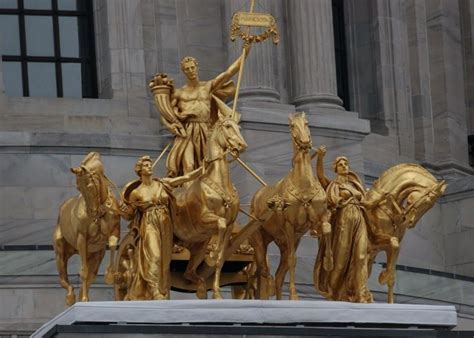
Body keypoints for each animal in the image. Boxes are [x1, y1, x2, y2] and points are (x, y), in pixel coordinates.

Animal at [52, 152, 120, 304]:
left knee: (91, 275)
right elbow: (83, 271)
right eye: (78, 187)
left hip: (95, 254)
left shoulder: (114, 232)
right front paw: (83, 299)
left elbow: (113, 245)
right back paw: (72, 297)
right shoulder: (82, 238)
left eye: (89, 186)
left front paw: (110, 275)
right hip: (61, 251)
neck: (100, 213)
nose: (92, 212)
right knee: (63, 279)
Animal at [173, 105, 248, 298]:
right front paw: (213, 254)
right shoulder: (204, 218)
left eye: (239, 128)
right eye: (228, 127)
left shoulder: (230, 226)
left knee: (188, 273)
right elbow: (219, 222)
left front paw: (216, 292)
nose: (242, 146)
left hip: (196, 245)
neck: (219, 183)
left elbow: (221, 259)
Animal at [250, 112, 332, 300]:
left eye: (306, 123)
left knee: (279, 276)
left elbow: (326, 229)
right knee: (264, 272)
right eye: (291, 126)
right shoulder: (289, 226)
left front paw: (329, 262)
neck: (303, 185)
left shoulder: (319, 219)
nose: (305, 142)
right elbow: (293, 260)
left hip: (286, 243)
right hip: (261, 241)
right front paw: (294, 296)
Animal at [362, 162, 448, 302]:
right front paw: (383, 276)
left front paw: (385, 278)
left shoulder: (384, 247)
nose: (410, 222)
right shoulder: (375, 240)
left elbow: (392, 269)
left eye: (431, 206)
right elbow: (393, 242)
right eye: (427, 201)